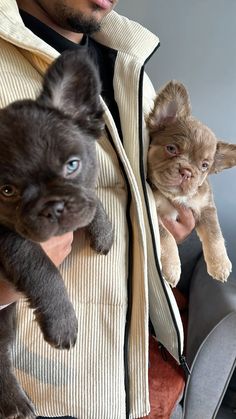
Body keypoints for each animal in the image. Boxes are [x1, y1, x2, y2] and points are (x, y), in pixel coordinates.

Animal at [0, 50, 113, 419]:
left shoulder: (83, 192)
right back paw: (15, 403)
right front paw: (62, 320)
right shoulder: (10, 239)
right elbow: (41, 267)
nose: (53, 207)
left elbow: (90, 198)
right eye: (6, 191)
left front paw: (102, 227)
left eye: (72, 166)